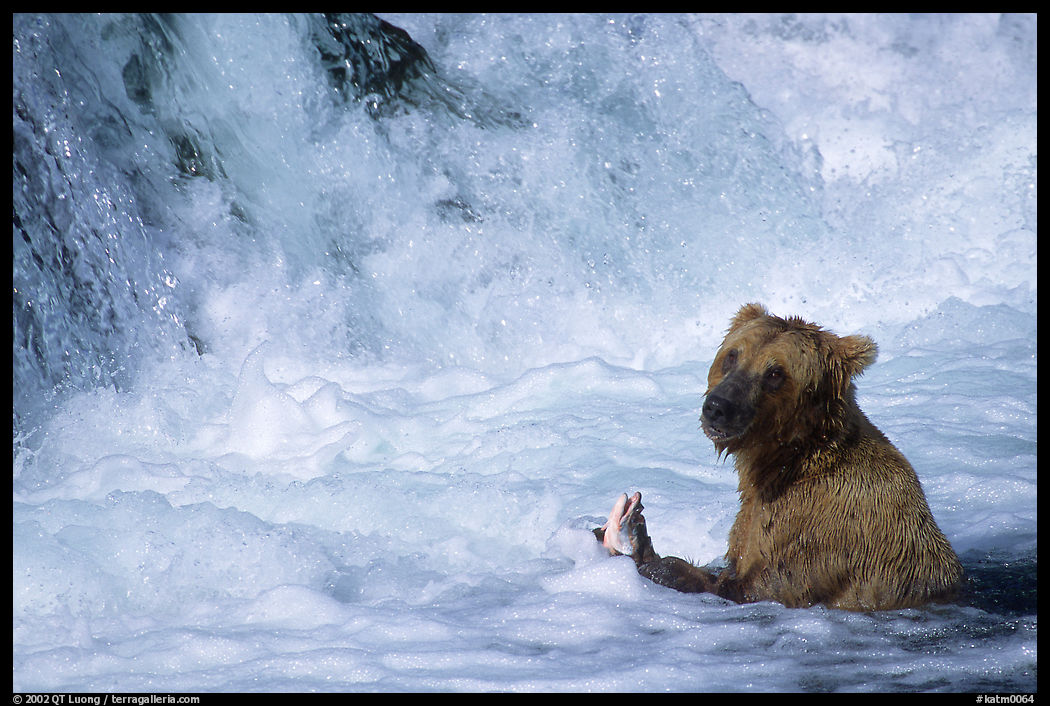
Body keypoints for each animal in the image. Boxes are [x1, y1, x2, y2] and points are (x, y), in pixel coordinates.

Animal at [595, 303, 963, 611]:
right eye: (733, 355)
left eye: (775, 372)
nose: (717, 406)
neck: (786, 460)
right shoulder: (753, 517)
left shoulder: (823, 529)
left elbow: (752, 586)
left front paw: (656, 561)